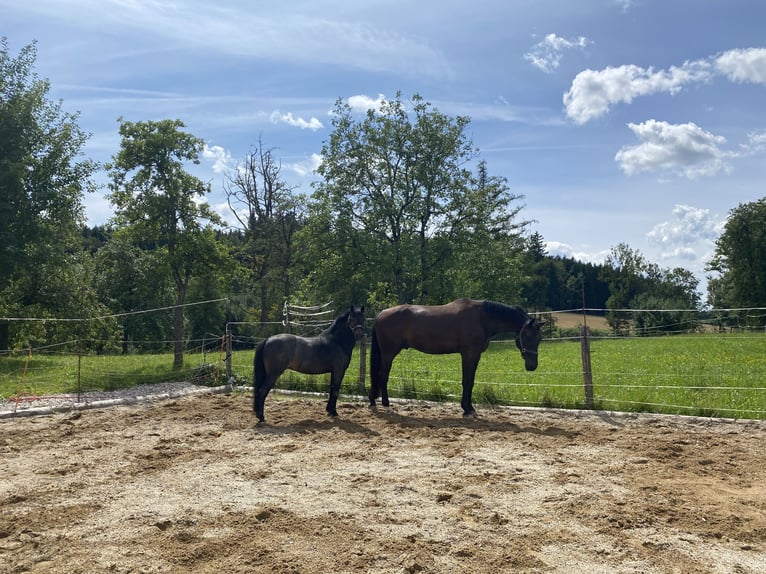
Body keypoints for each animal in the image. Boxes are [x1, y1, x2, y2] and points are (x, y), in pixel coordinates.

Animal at [368, 298, 545, 417]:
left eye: (539, 338)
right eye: (527, 335)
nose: (532, 366)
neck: (482, 318)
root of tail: (380, 314)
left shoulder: (474, 355)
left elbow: (470, 381)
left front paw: (469, 408)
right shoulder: (469, 354)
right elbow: (467, 381)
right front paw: (467, 409)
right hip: (388, 353)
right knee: (382, 375)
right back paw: (384, 403)